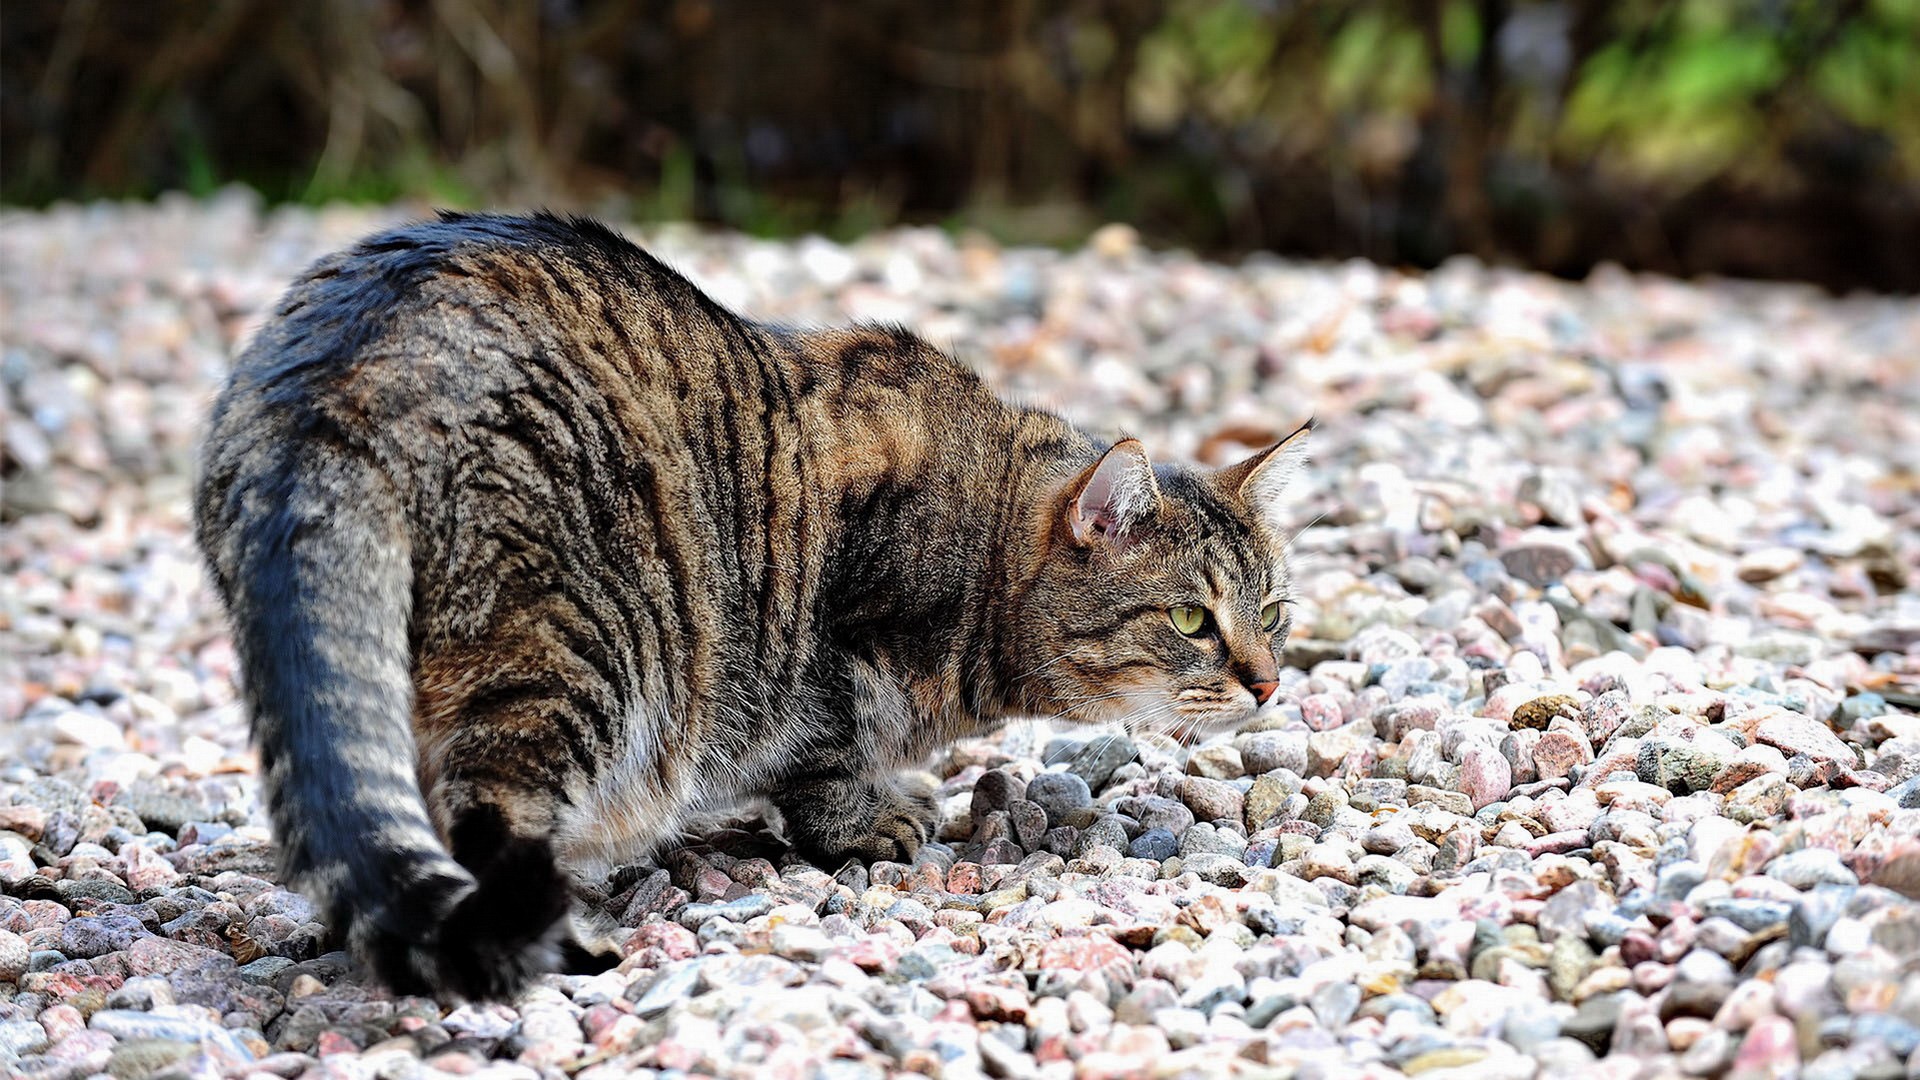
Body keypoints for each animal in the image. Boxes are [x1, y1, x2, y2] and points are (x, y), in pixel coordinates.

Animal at [191, 212, 1305, 999]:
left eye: (1274, 612)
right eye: (1193, 621)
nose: (1268, 683)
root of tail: (333, 377)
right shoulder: (835, 654)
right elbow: (828, 758)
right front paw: (870, 819)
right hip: (585, 650)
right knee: (491, 814)